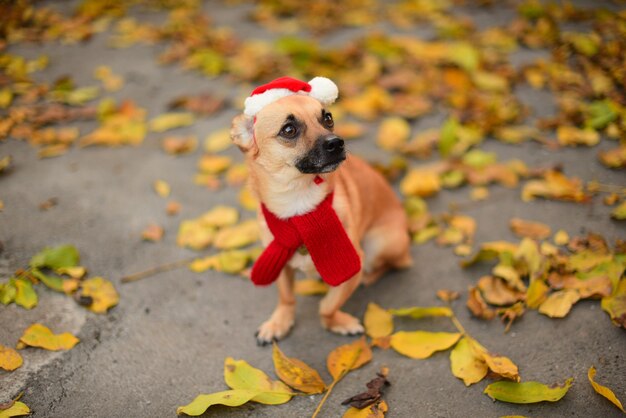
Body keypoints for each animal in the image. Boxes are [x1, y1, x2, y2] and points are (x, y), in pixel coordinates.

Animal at [229, 76, 410, 344]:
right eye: (288, 130)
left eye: (328, 118)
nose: (336, 142)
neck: (299, 204)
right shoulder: (279, 260)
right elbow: (286, 298)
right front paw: (279, 323)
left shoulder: (349, 268)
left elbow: (328, 306)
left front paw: (337, 322)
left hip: (380, 244)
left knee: (391, 264)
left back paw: (368, 277)